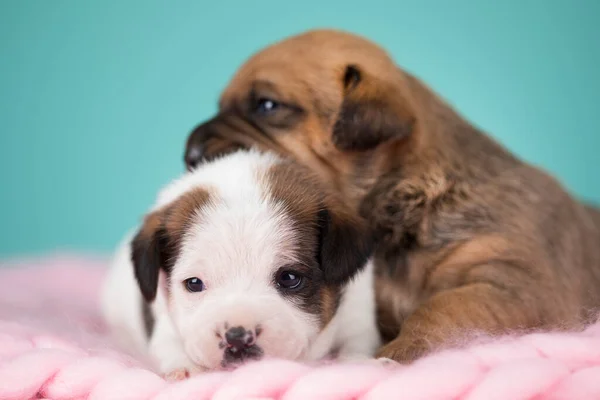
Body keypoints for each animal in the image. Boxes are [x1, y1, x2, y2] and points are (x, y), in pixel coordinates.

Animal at [99, 148, 380, 376]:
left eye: (290, 278)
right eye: (194, 283)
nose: (237, 337)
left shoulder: (358, 317)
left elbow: (357, 344)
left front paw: (360, 362)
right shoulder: (165, 324)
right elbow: (169, 346)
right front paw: (185, 368)